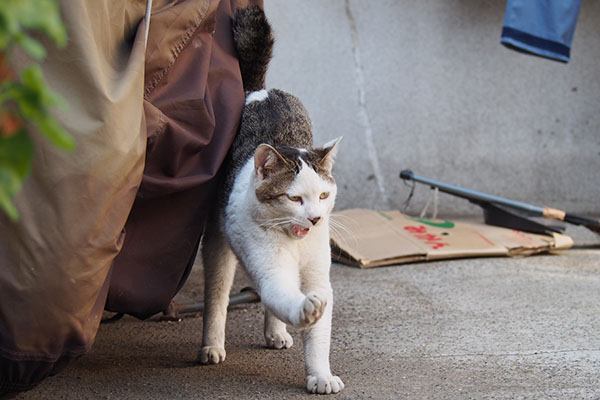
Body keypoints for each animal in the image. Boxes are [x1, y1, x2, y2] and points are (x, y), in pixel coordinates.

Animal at [199, 4, 344, 396]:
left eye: (323, 195)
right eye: (294, 198)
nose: (315, 219)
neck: (295, 241)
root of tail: (259, 91)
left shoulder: (317, 275)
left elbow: (318, 336)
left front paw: (320, 375)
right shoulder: (270, 267)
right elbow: (281, 294)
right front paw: (305, 311)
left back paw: (275, 333)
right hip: (217, 245)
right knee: (217, 297)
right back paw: (211, 346)